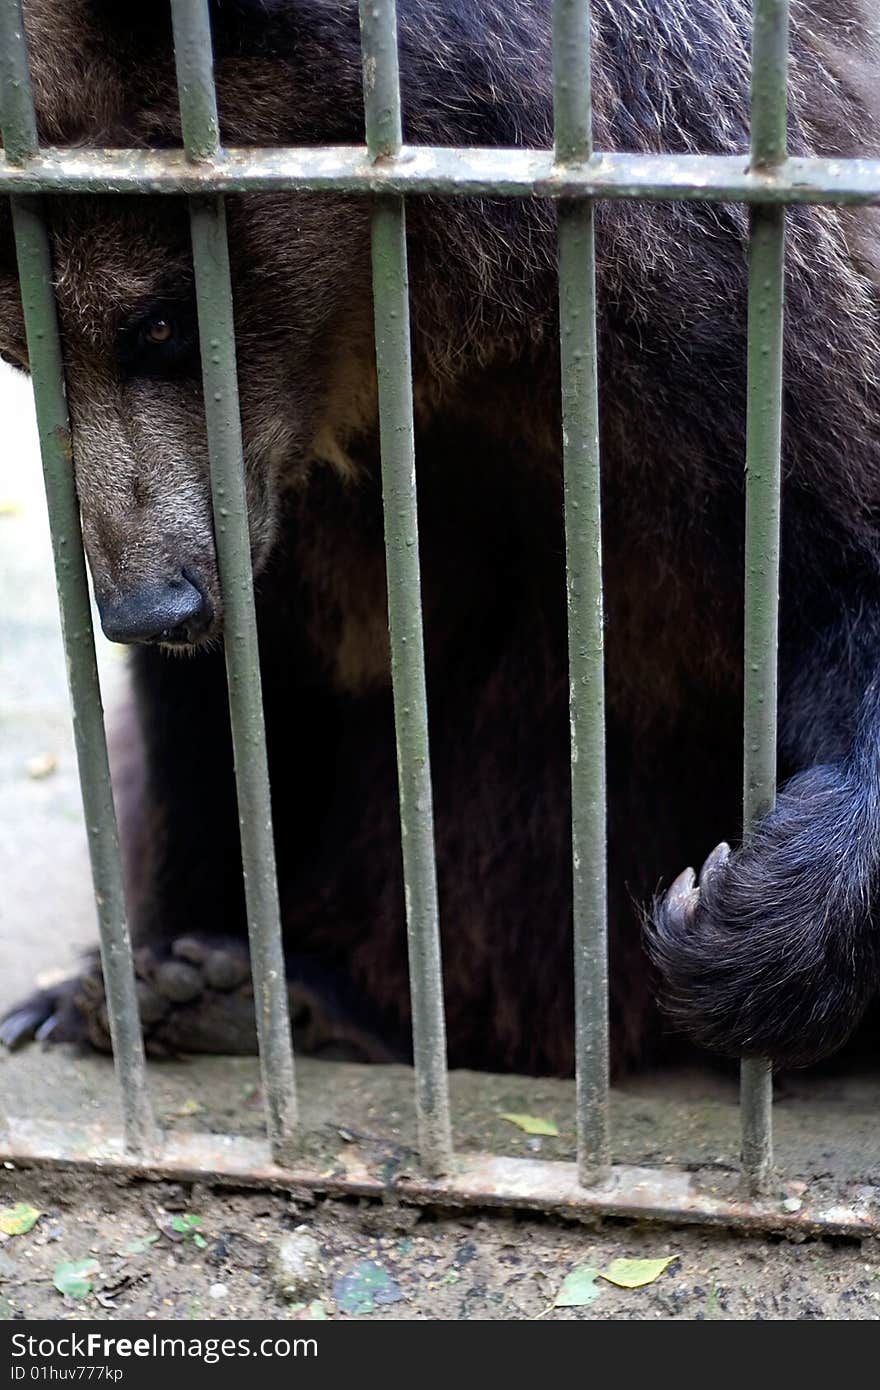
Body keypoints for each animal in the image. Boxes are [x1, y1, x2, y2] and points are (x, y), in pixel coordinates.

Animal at [0, 0, 878, 1073]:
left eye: (158, 324)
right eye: (20, 349)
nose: (151, 607)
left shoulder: (725, 305)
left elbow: (836, 572)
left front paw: (748, 916)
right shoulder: (284, 520)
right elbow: (224, 721)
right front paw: (146, 971)